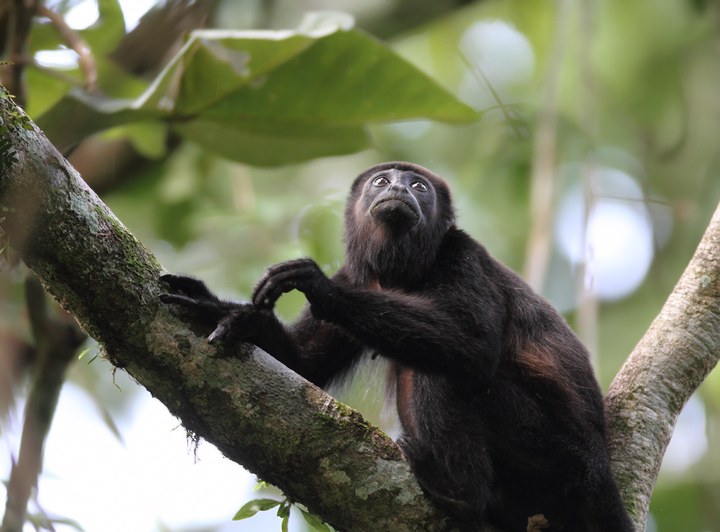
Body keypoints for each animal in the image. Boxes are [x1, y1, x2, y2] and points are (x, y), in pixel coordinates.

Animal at [160, 162, 632, 532]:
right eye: (382, 180)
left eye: (419, 186)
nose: (399, 189)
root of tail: (601, 468)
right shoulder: (358, 273)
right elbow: (302, 363)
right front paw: (224, 311)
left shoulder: (462, 254)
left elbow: (474, 346)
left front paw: (320, 287)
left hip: (560, 457)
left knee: (444, 372)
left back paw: (460, 491)